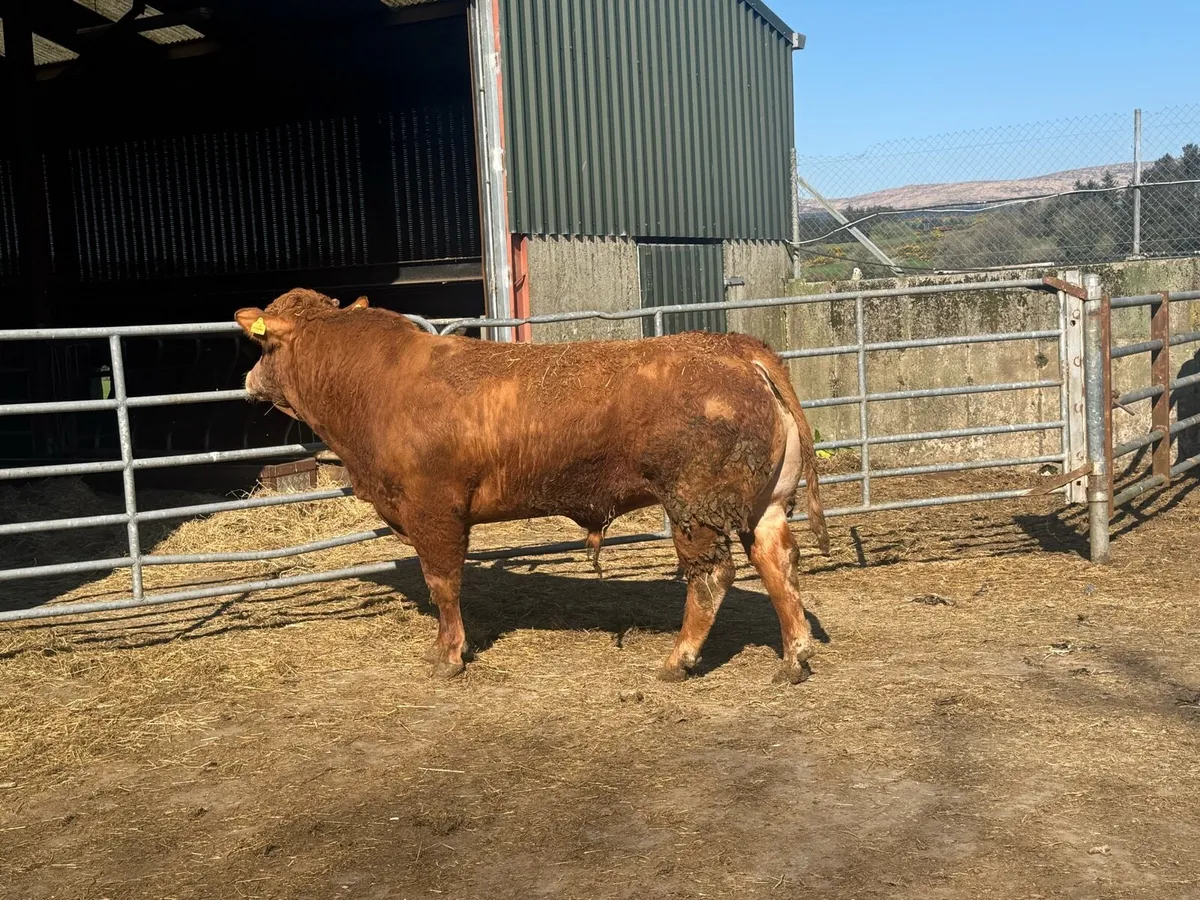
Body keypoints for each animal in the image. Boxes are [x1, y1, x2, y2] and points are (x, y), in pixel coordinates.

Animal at [235, 289, 829, 684]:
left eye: (263, 349)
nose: (247, 381)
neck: (375, 383)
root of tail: (736, 346)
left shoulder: (433, 508)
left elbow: (442, 584)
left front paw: (447, 655)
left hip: (694, 504)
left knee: (712, 576)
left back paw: (677, 660)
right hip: (765, 502)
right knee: (778, 562)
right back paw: (794, 658)